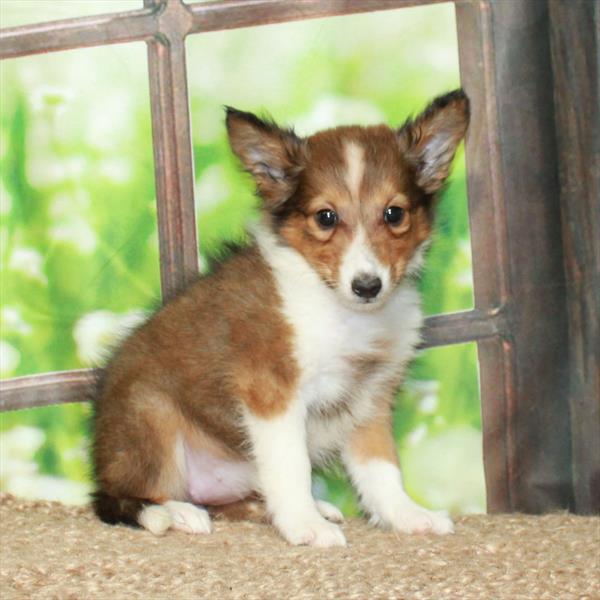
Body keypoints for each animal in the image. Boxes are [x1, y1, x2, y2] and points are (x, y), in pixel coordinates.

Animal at [92, 89, 468, 548]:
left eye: (394, 214)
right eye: (326, 217)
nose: (367, 286)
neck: (338, 309)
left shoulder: (371, 397)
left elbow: (381, 466)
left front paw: (407, 515)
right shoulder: (271, 393)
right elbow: (293, 467)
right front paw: (305, 526)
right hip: (151, 417)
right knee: (122, 500)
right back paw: (176, 513)